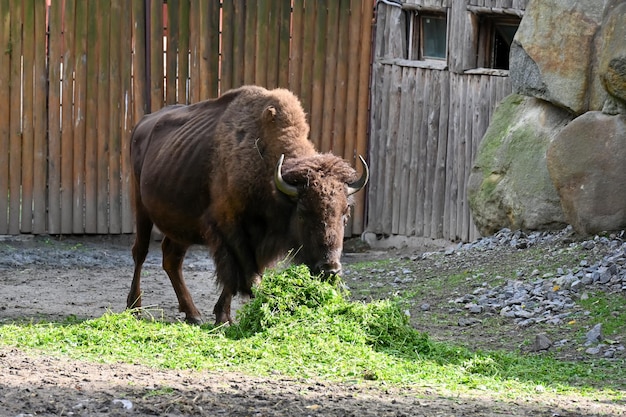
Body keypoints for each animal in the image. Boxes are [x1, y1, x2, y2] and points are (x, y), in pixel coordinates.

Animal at [129, 85, 368, 324]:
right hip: (141, 208)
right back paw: (134, 308)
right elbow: (244, 274)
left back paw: (193, 314)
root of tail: (142, 124)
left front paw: (223, 315)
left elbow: (241, 276)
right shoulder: (229, 229)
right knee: (140, 253)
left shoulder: (258, 240)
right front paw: (231, 316)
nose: (330, 270)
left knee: (172, 259)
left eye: (345, 213)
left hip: (180, 224)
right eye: (302, 212)